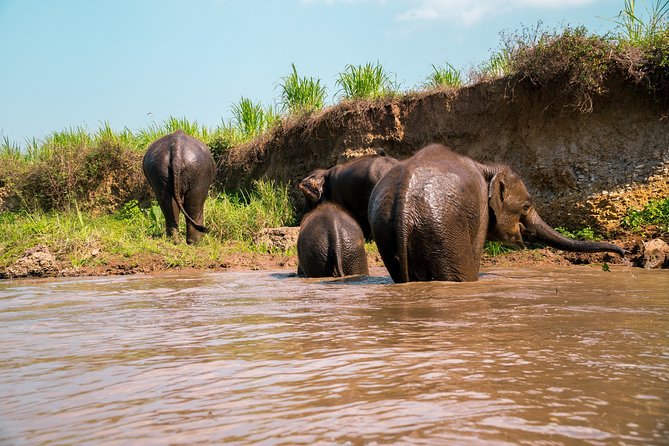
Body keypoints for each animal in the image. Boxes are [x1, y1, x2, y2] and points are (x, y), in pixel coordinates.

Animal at [368, 143, 624, 282]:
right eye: (526, 206)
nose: (623, 253)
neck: (485, 165)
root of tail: (404, 205)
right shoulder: (479, 208)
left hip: (385, 230)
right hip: (442, 230)